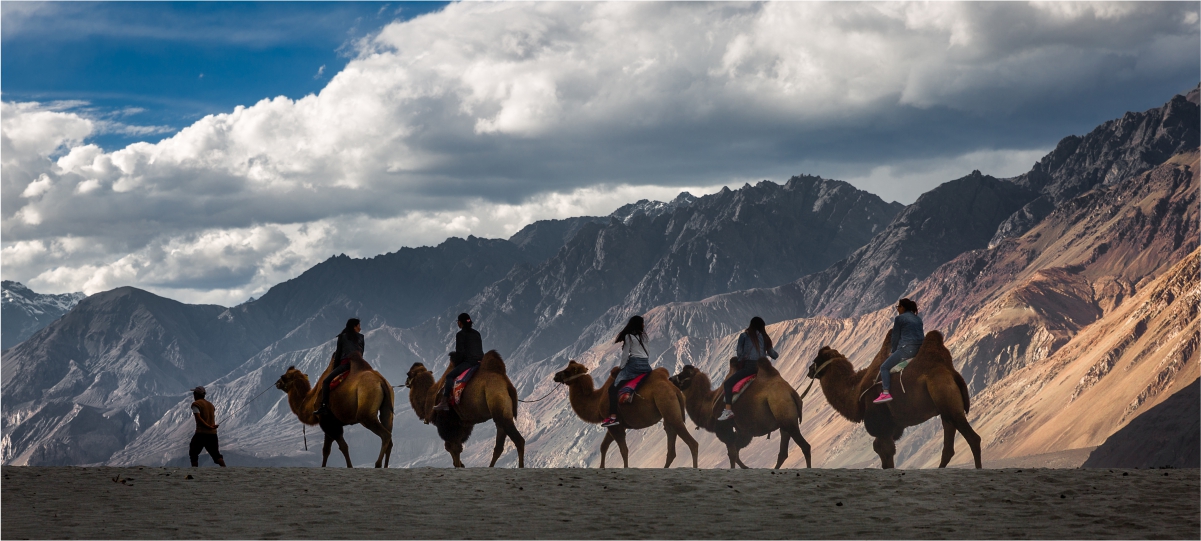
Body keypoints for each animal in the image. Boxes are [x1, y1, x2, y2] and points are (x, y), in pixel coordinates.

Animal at [550, 363, 701, 468]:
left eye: (567, 371)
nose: (556, 375)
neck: (597, 400)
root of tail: (674, 388)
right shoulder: (614, 423)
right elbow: (603, 446)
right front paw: (601, 468)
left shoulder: (614, 425)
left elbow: (623, 450)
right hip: (667, 411)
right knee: (671, 443)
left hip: (667, 404)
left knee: (692, 443)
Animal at [672, 358, 811, 466]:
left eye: (682, 374)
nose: (670, 378)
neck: (708, 404)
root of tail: (790, 392)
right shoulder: (744, 431)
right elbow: (736, 453)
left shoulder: (724, 429)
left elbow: (732, 455)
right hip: (784, 422)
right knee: (783, 453)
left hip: (786, 416)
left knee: (805, 446)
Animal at [807, 329, 984, 468]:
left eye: (817, 359)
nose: (809, 370)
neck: (856, 393)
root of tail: (951, 373)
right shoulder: (893, 429)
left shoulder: (882, 427)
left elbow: (885, 453)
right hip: (945, 409)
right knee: (948, 448)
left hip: (947, 400)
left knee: (973, 438)